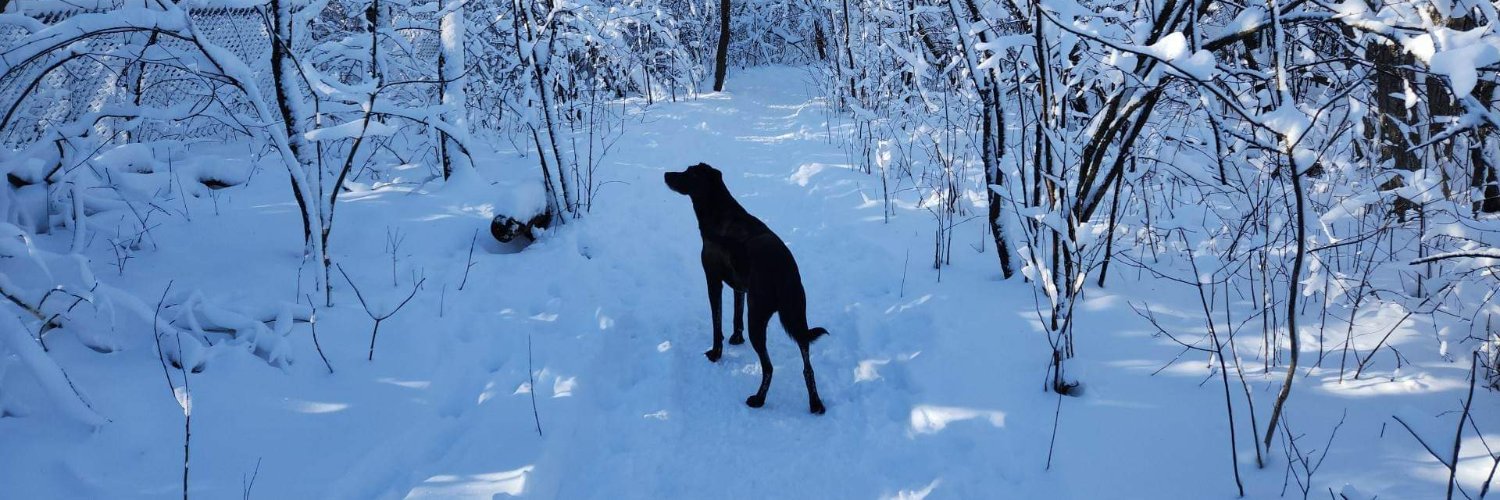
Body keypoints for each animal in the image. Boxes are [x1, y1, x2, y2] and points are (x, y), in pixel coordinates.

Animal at [669, 163, 834, 411]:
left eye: (689, 173)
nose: (666, 174)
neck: (718, 211)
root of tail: (784, 272)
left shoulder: (713, 280)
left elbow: (717, 322)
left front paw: (716, 354)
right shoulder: (739, 287)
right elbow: (736, 316)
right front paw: (737, 338)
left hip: (757, 316)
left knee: (769, 367)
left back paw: (758, 399)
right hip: (797, 315)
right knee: (808, 367)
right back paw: (815, 404)